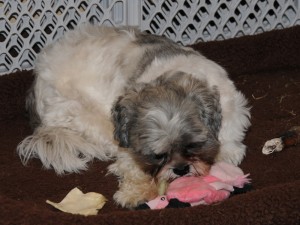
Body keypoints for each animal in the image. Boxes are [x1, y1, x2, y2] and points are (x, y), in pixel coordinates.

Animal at [17, 23, 251, 208]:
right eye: (156, 155)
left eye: (192, 146)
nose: (181, 169)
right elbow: (131, 164)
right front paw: (136, 192)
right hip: (83, 115)